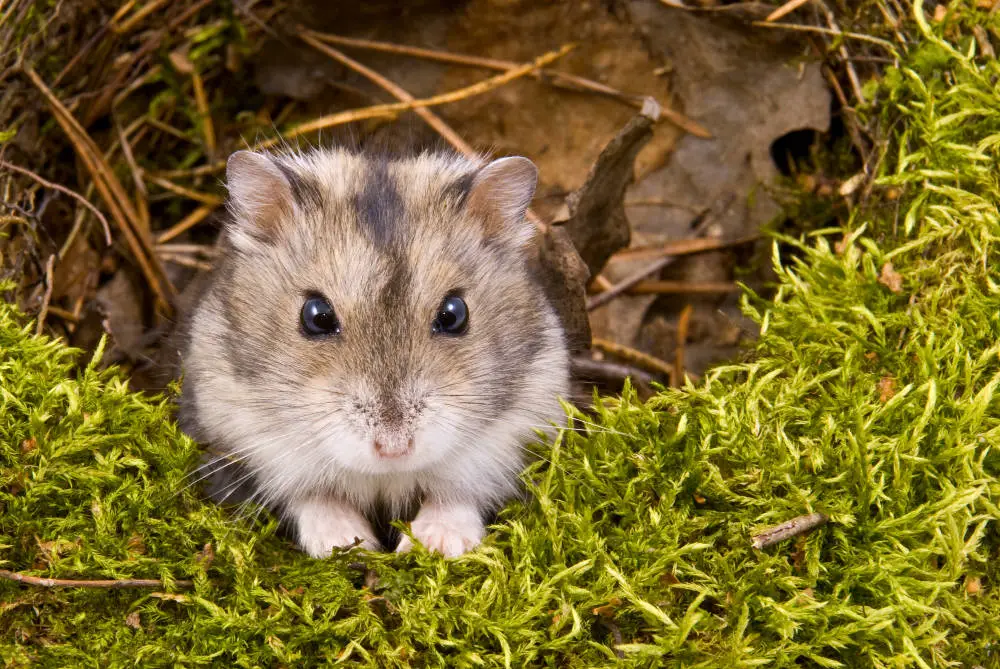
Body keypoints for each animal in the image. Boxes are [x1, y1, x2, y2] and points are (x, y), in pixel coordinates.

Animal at [180, 147, 572, 560]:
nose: (393, 449)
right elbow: (312, 497)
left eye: (454, 314)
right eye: (316, 316)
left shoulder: (515, 431)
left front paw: (433, 545)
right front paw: (348, 545)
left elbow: (457, 495)